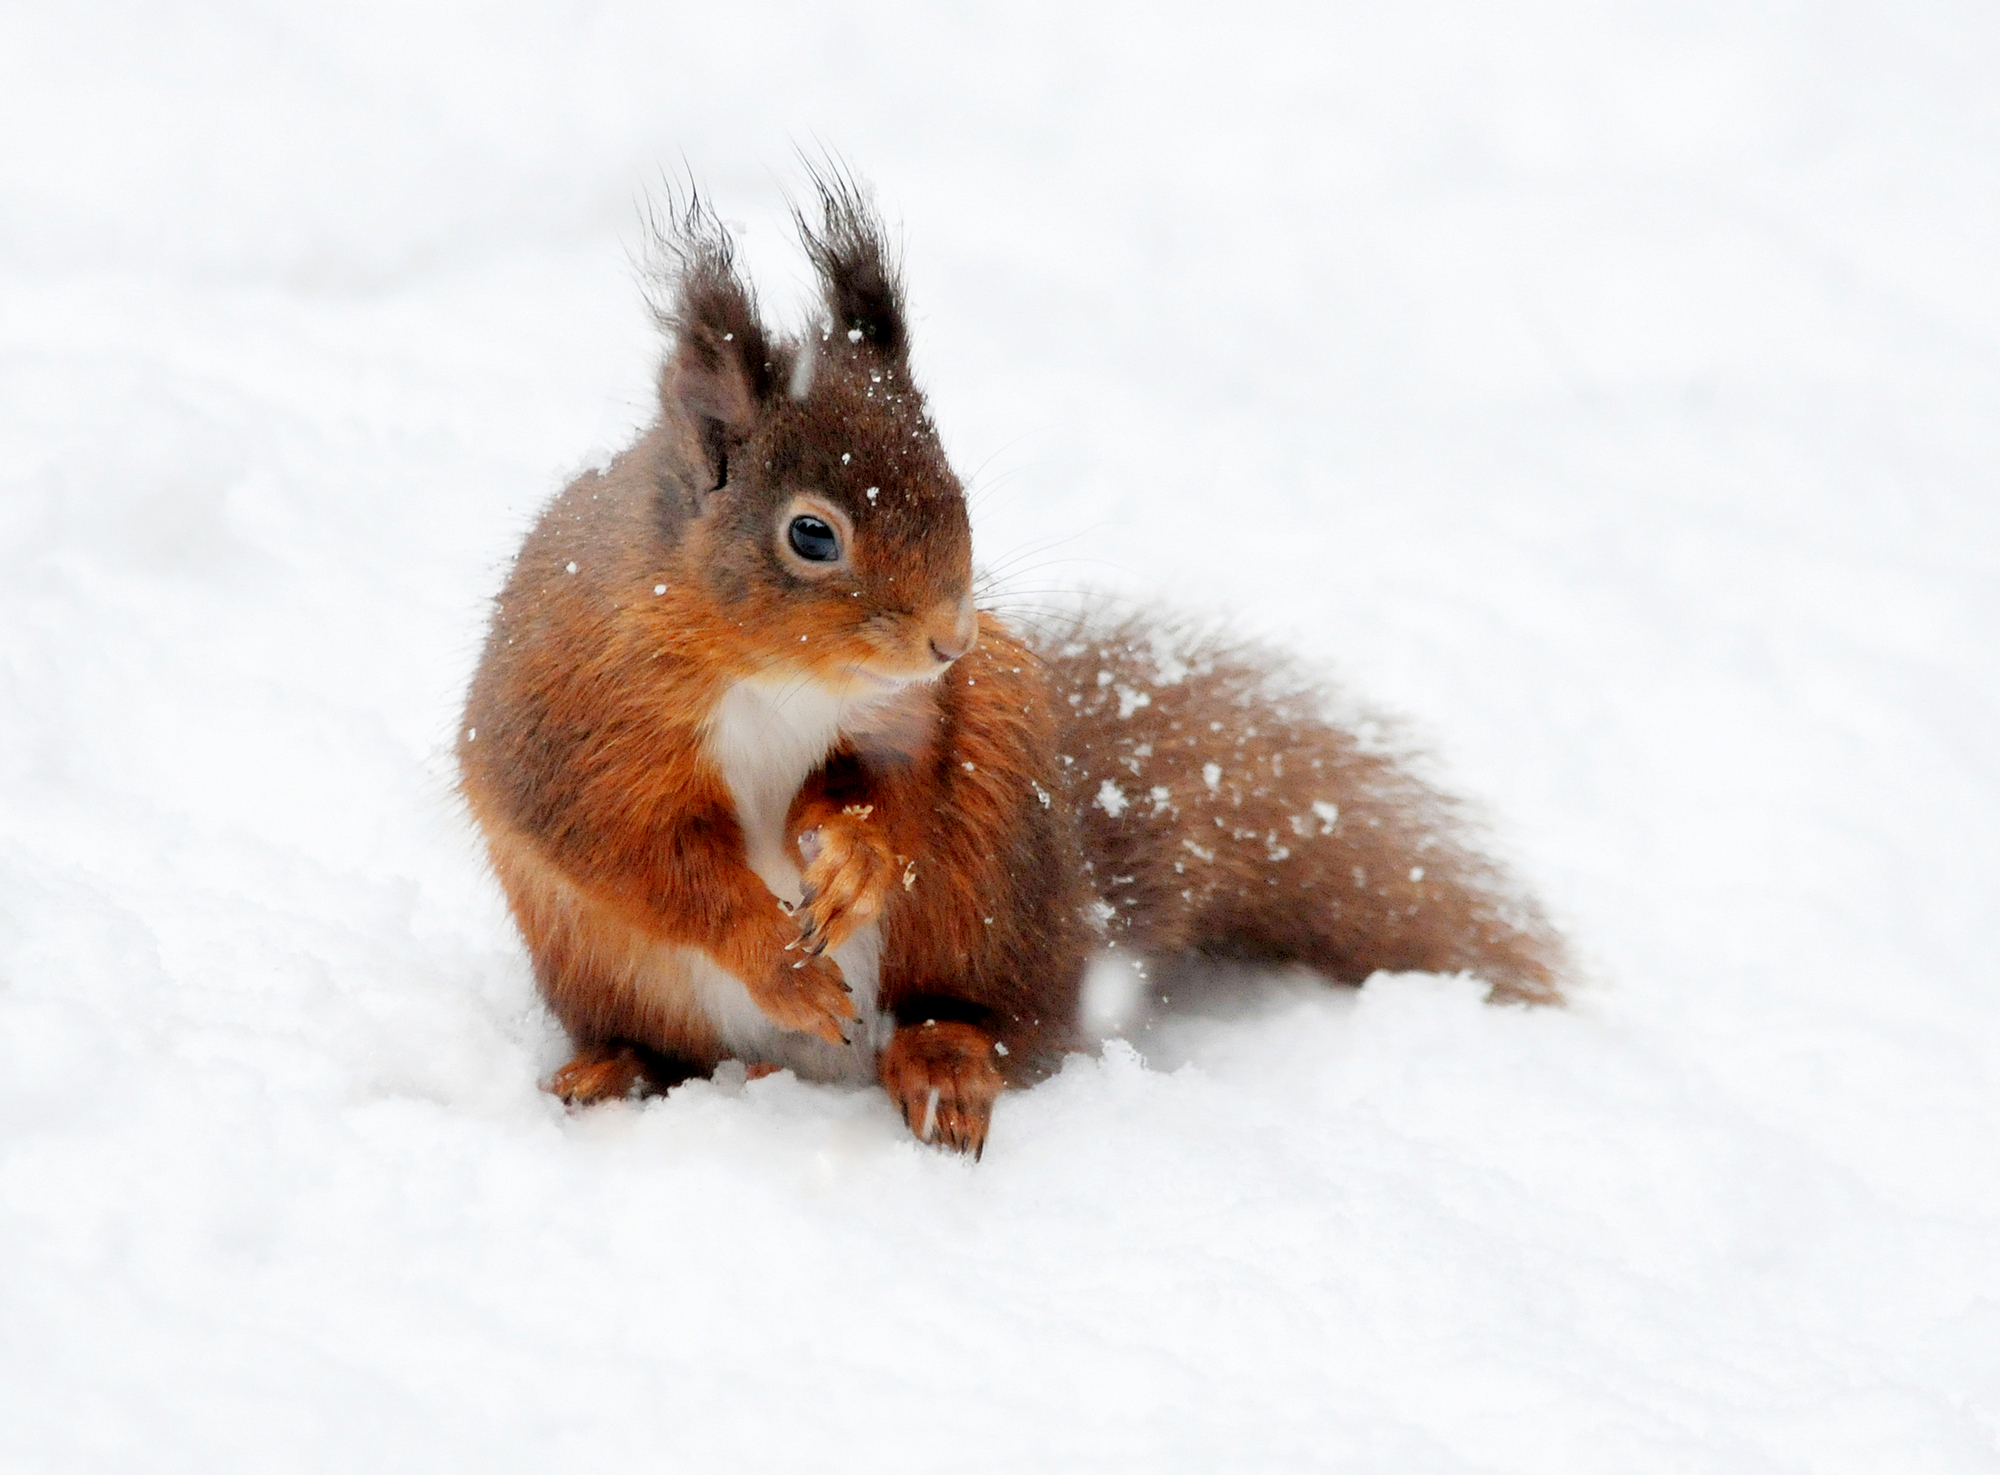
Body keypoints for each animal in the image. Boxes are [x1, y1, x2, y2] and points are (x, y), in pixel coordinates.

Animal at [458, 170, 1566, 1157]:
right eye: (811, 535)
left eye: (954, 487)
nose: (951, 638)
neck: (776, 672)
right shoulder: (577, 721)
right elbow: (645, 855)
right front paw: (779, 958)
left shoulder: (920, 714)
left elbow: (891, 791)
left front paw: (851, 860)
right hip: (598, 956)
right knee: (673, 1043)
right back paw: (613, 1068)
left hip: (986, 855)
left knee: (984, 1019)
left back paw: (941, 1065)